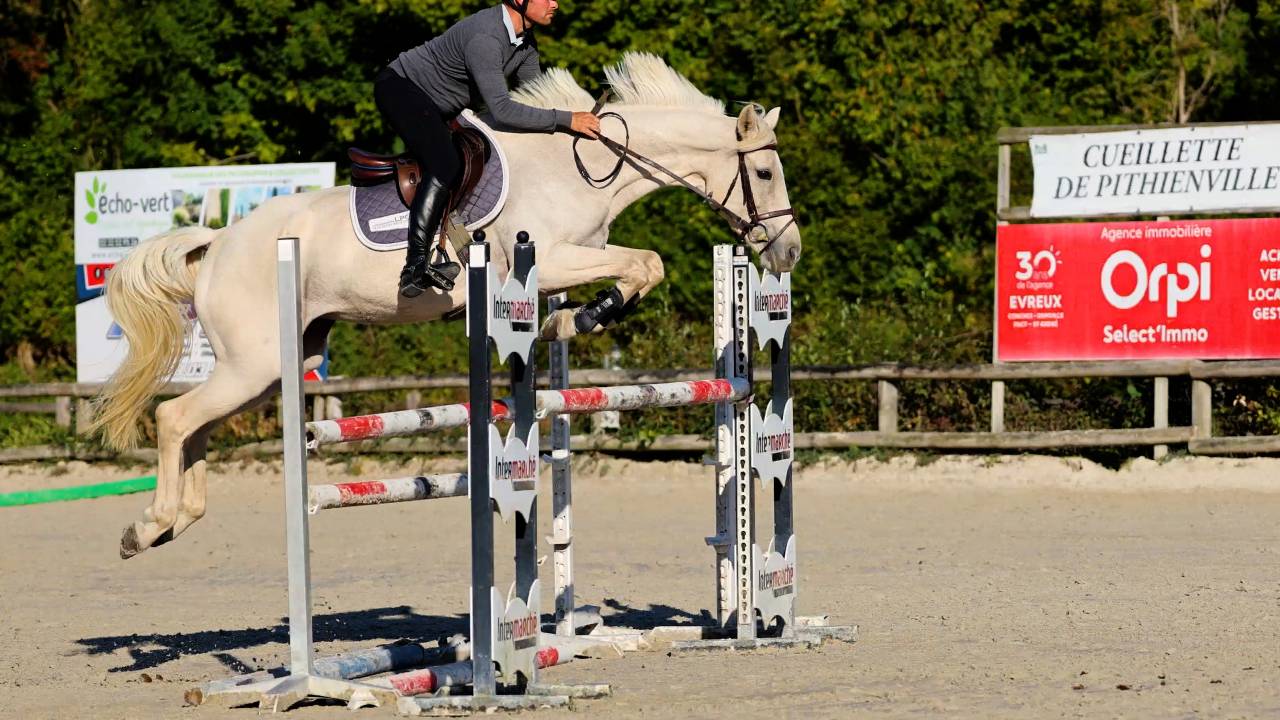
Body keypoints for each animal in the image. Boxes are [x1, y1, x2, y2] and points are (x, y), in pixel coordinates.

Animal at [86, 53, 803, 559]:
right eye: (765, 174)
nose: (788, 251)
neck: (579, 168)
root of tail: (218, 242)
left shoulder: (572, 258)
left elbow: (641, 266)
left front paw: (571, 319)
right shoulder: (546, 258)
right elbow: (644, 262)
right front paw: (581, 317)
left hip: (275, 365)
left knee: (197, 428)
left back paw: (173, 521)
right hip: (254, 362)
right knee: (176, 418)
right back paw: (148, 527)